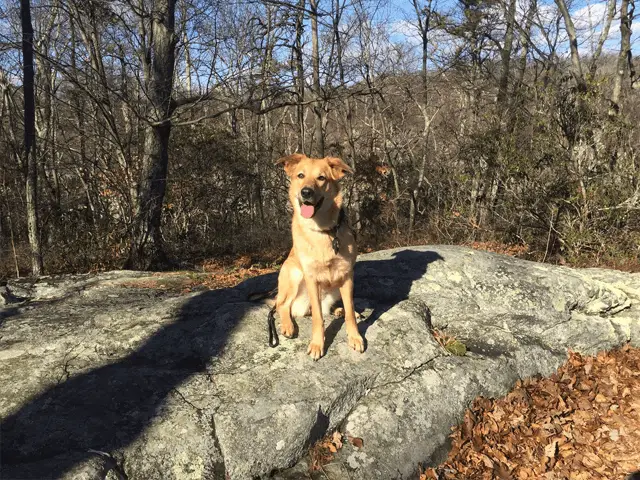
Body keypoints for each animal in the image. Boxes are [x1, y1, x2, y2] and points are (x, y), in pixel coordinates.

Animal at [272, 154, 364, 360]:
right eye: (300, 175)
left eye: (321, 178)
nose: (306, 192)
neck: (322, 230)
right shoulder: (311, 278)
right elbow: (317, 318)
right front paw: (317, 344)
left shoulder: (347, 276)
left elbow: (350, 310)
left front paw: (355, 336)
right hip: (294, 276)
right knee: (283, 305)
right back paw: (288, 325)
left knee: (331, 307)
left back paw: (339, 310)